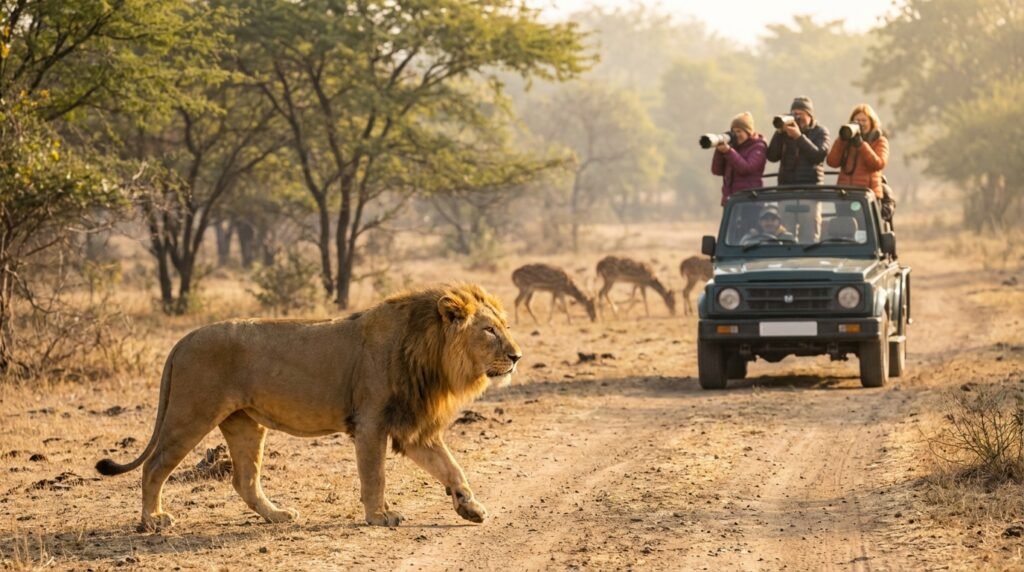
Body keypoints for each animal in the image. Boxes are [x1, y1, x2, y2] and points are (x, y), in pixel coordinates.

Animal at [96, 284, 522, 531]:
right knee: (154, 466)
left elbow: (451, 468)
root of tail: (182, 340)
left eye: (505, 326)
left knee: (244, 480)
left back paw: (279, 516)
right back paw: (153, 520)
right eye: (489, 330)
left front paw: (471, 508)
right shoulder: (371, 423)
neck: (428, 353)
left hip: (244, 424)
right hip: (191, 413)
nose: (517, 356)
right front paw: (380, 516)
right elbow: (375, 476)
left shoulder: (412, 427)